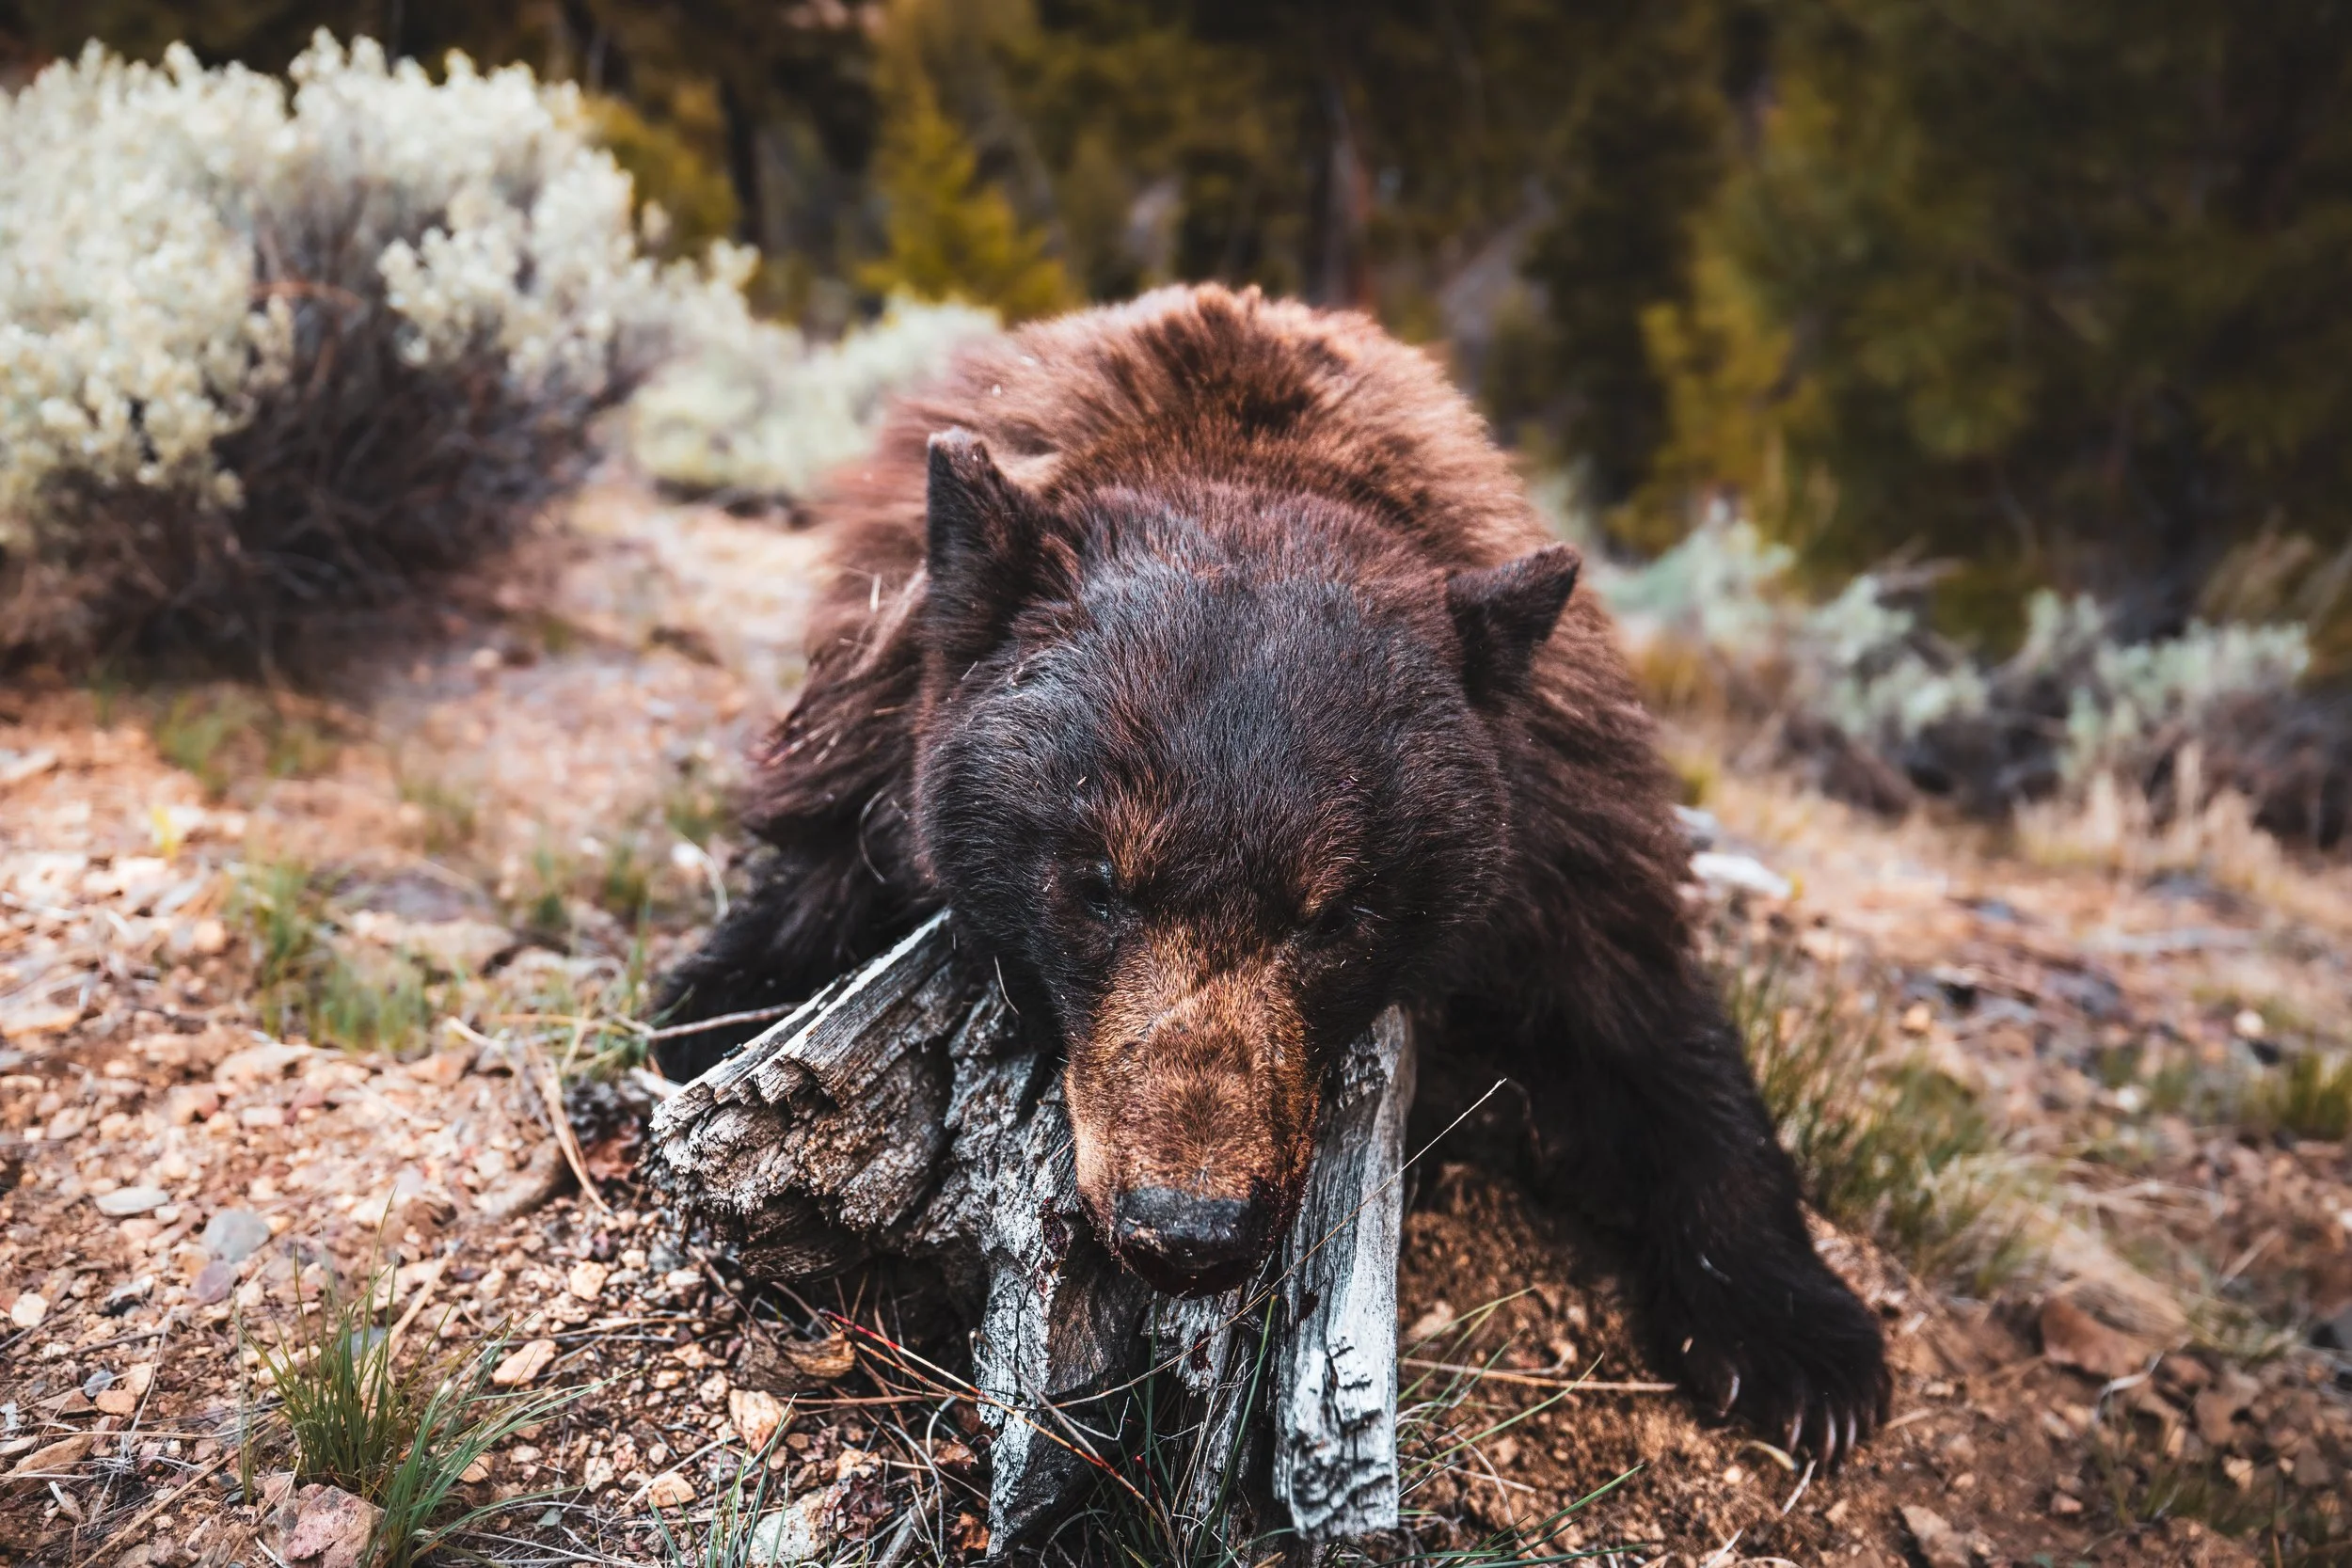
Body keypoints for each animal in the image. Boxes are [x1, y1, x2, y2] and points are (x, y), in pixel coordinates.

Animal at [655, 284, 1890, 1465]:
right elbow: (825, 858)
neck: (1245, 457)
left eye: (1338, 913)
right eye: (1096, 881)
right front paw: (716, 997)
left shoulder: (1559, 814)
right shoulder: (880, 692)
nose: (1187, 1231)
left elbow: (1641, 1011)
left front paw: (1798, 1339)